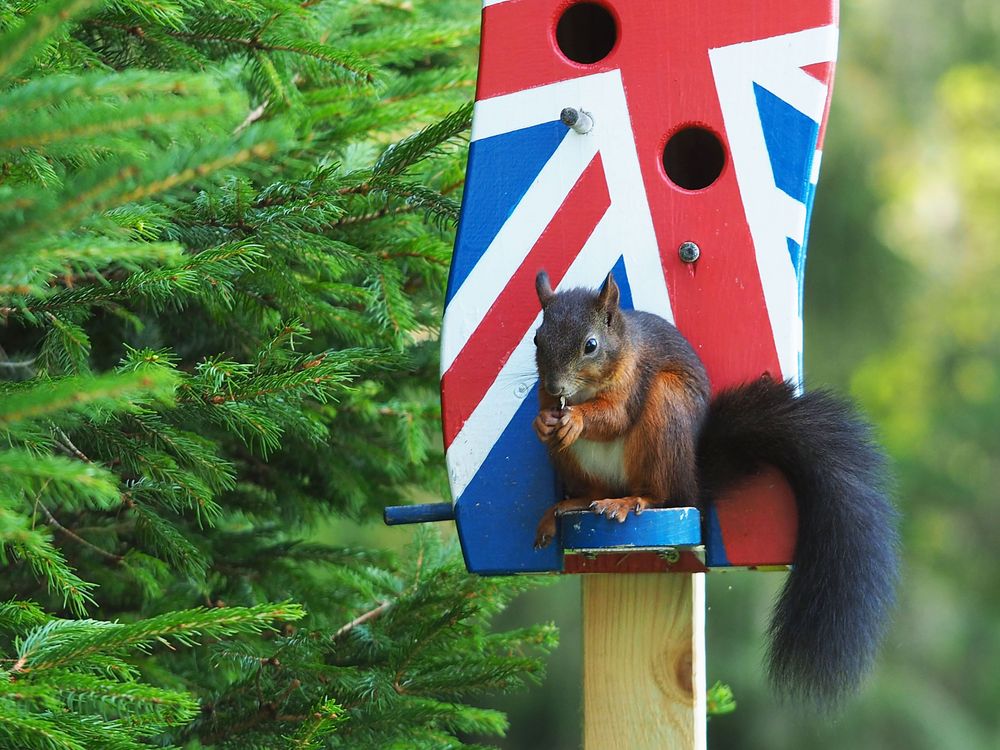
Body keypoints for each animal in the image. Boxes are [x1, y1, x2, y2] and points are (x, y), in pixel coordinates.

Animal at [536, 272, 904, 712]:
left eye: (590, 345)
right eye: (537, 339)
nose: (554, 384)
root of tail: (692, 477)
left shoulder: (634, 379)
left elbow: (614, 416)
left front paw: (577, 419)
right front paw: (543, 421)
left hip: (665, 411)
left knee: (663, 494)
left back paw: (630, 500)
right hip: (575, 464)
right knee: (593, 487)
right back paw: (567, 504)